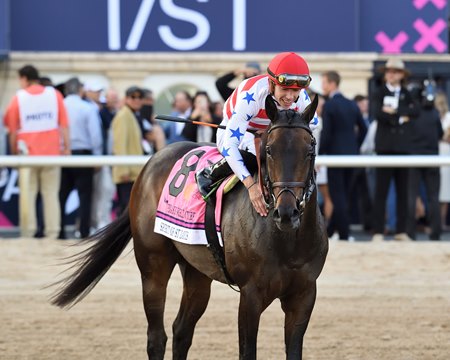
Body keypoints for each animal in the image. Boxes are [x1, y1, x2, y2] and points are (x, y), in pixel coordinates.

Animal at [51, 94, 326, 358]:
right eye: (269, 150)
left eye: (310, 149)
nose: (286, 213)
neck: (286, 243)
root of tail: (152, 162)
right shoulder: (251, 295)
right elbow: (247, 351)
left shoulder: (304, 296)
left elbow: (294, 350)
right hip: (153, 265)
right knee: (157, 337)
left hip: (197, 271)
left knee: (181, 331)